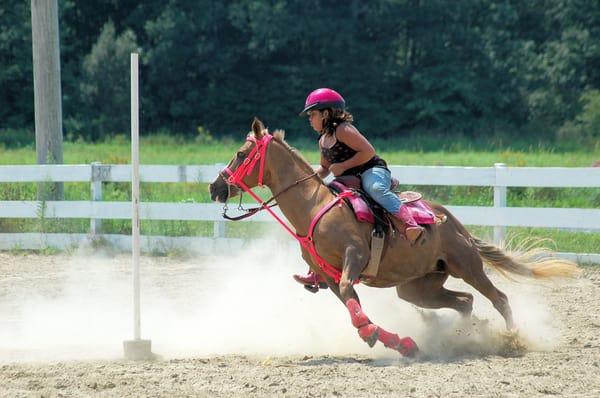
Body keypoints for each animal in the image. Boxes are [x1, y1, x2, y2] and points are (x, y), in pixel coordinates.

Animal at [209, 118, 580, 358]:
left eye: (241, 154)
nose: (215, 187)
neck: (316, 205)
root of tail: (455, 223)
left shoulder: (354, 256)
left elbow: (352, 298)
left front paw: (377, 336)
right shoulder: (328, 276)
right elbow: (352, 305)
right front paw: (398, 342)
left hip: (467, 265)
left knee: (498, 298)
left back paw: (512, 339)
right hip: (418, 287)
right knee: (464, 301)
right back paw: (460, 336)